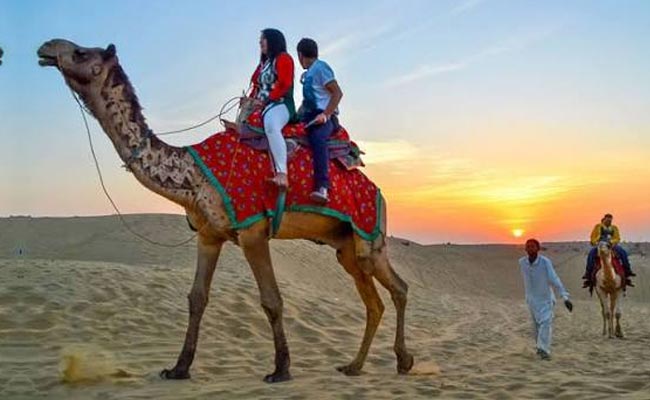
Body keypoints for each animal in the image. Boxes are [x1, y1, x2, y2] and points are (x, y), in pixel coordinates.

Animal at [37, 39, 414, 383]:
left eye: (81, 52)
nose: (46, 47)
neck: (193, 174)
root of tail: (378, 191)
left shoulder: (252, 230)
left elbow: (271, 299)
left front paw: (281, 370)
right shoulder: (208, 235)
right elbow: (196, 298)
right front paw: (178, 368)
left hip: (369, 236)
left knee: (398, 288)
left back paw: (403, 361)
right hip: (345, 245)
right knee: (374, 301)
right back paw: (355, 365)